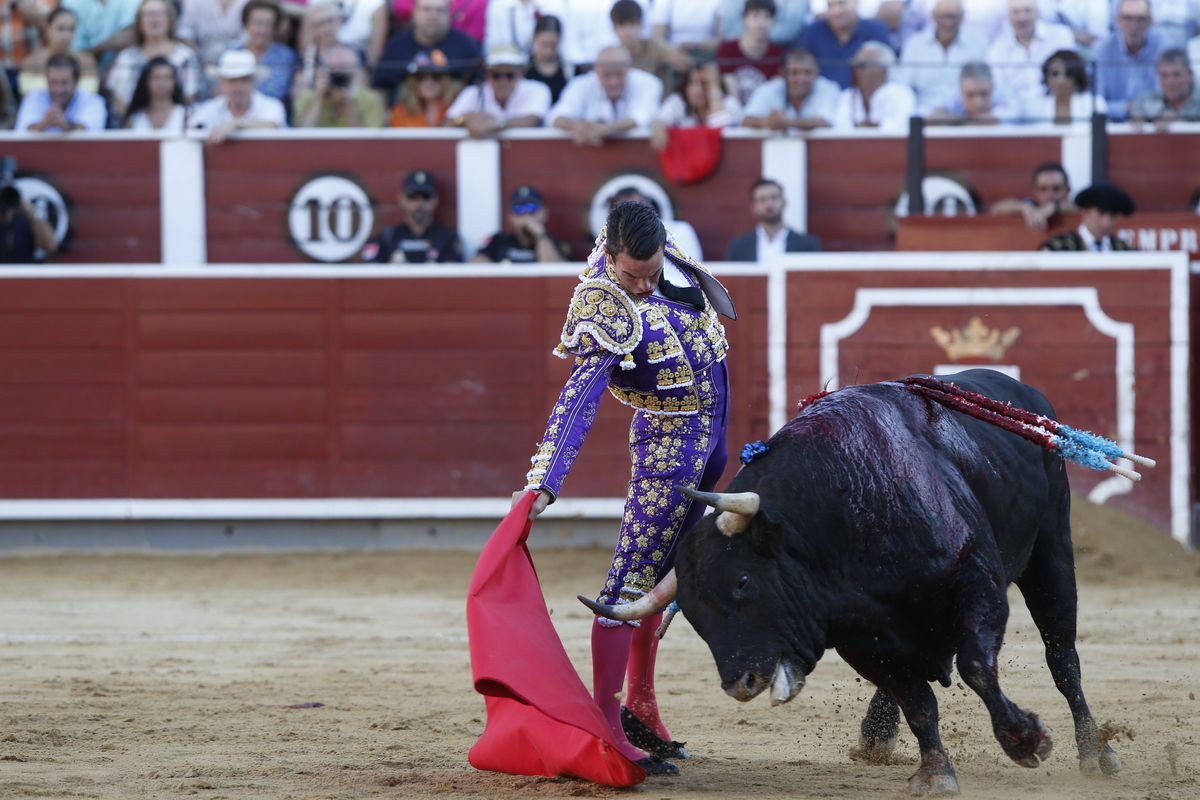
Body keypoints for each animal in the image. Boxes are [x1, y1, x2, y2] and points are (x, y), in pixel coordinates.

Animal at [595, 371, 1118, 796]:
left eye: (743, 581)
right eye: (695, 616)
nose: (740, 683)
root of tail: (1025, 393)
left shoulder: (978, 587)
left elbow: (976, 668)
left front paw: (1026, 741)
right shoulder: (860, 640)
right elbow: (918, 701)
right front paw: (936, 773)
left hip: (1052, 550)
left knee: (1062, 656)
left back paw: (1096, 752)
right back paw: (876, 737)